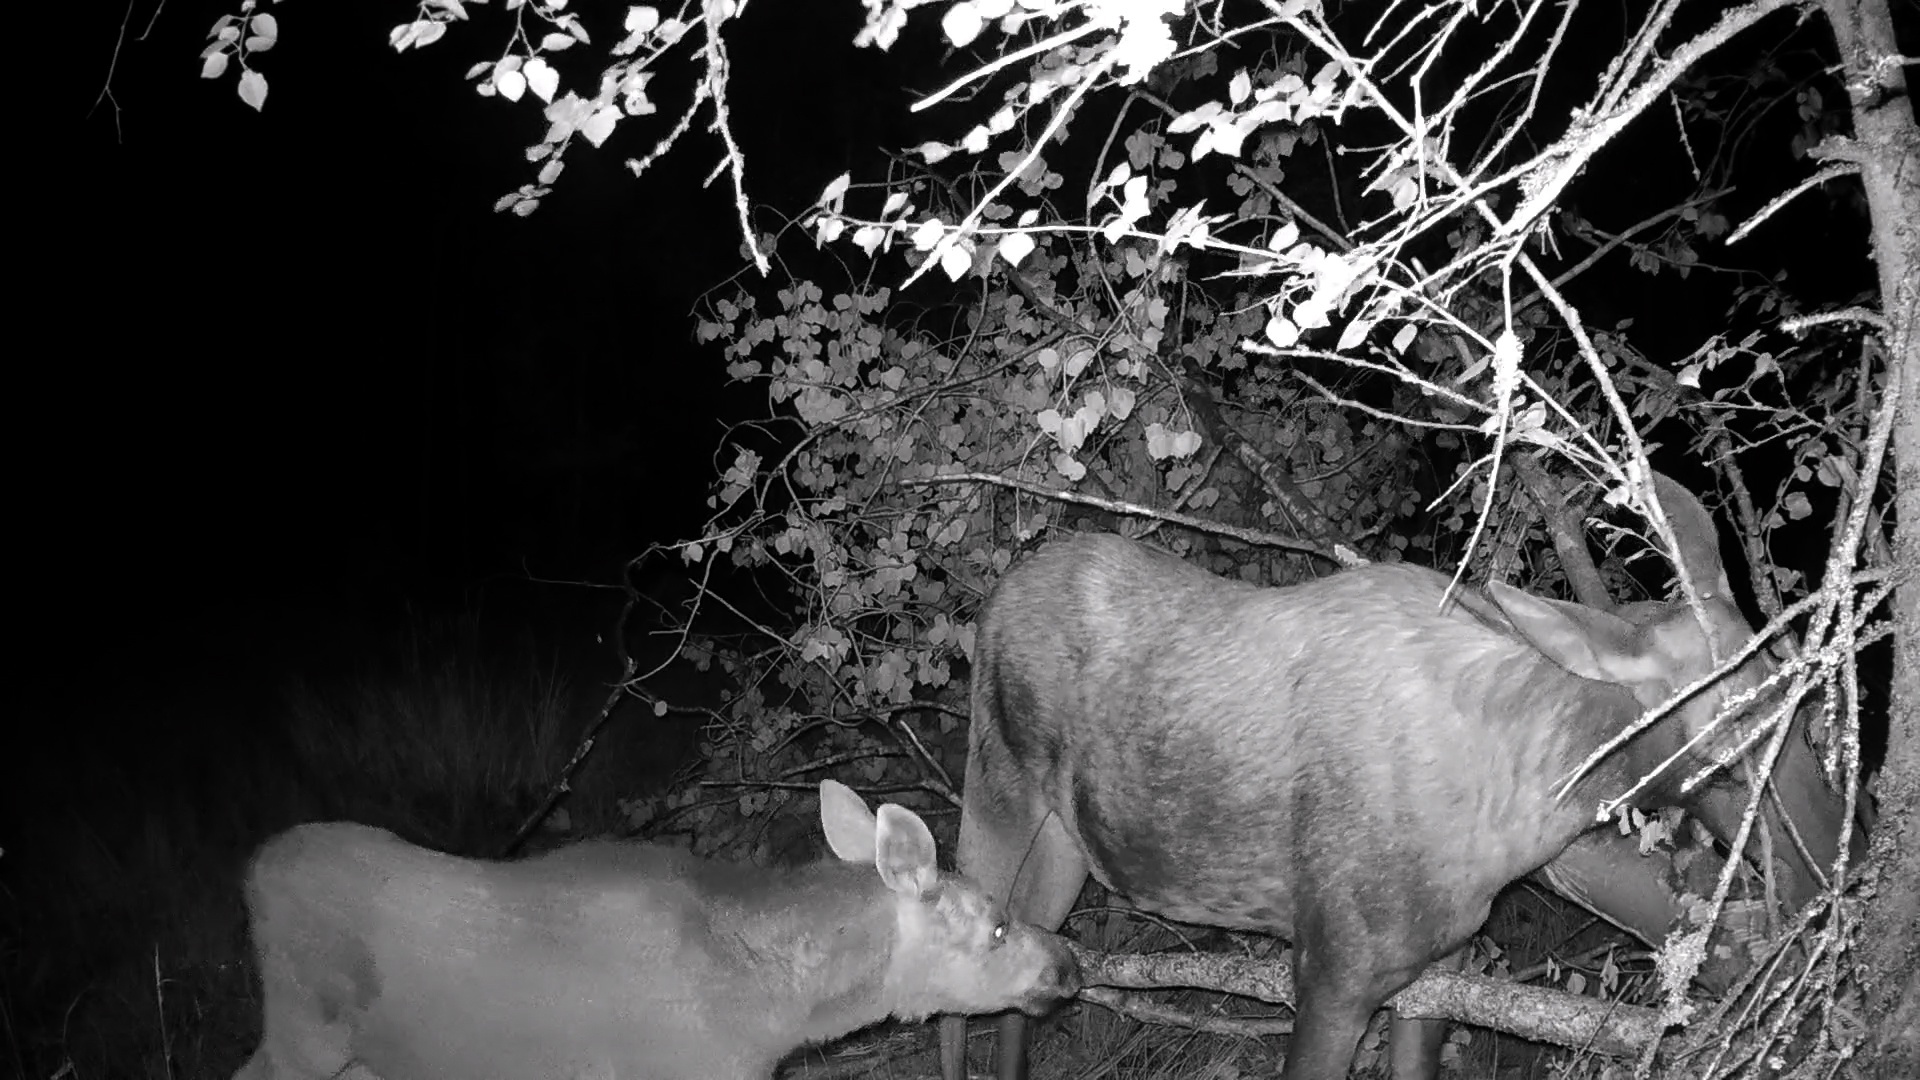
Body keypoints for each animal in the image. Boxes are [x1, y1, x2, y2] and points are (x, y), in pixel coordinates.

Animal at [936, 472, 1850, 1076]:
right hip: (993, 800)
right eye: (1736, 725)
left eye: (1802, 691)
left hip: (1063, 851)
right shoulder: (1331, 970)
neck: (1522, 813)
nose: (1824, 879)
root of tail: (998, 591)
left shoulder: (1434, 976)